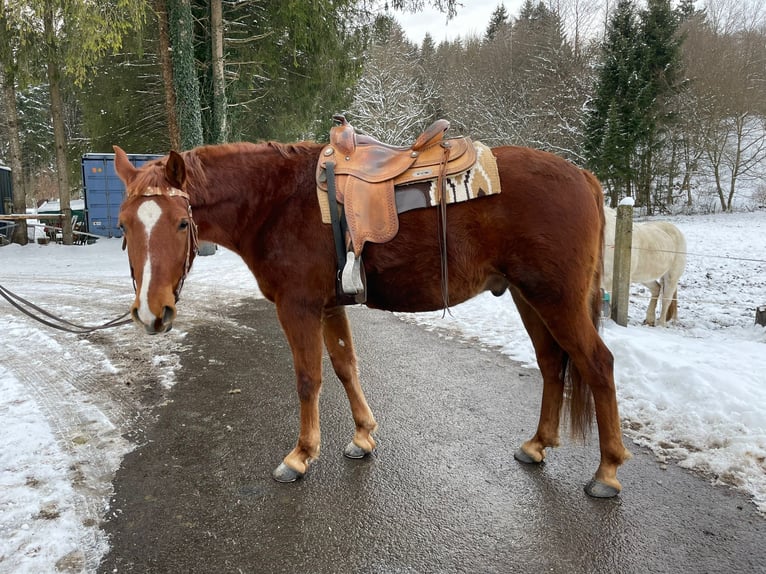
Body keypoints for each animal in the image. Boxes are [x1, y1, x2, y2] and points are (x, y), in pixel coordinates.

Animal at [113, 139, 632, 499]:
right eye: (123, 225)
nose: (151, 313)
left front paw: (300, 456)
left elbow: (309, 378)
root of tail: (584, 177)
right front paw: (363, 437)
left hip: (557, 300)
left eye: (182, 222)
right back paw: (538, 444)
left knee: (598, 365)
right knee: (552, 365)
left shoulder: (298, 306)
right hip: (530, 298)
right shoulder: (329, 306)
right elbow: (345, 367)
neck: (277, 203)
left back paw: (606, 471)